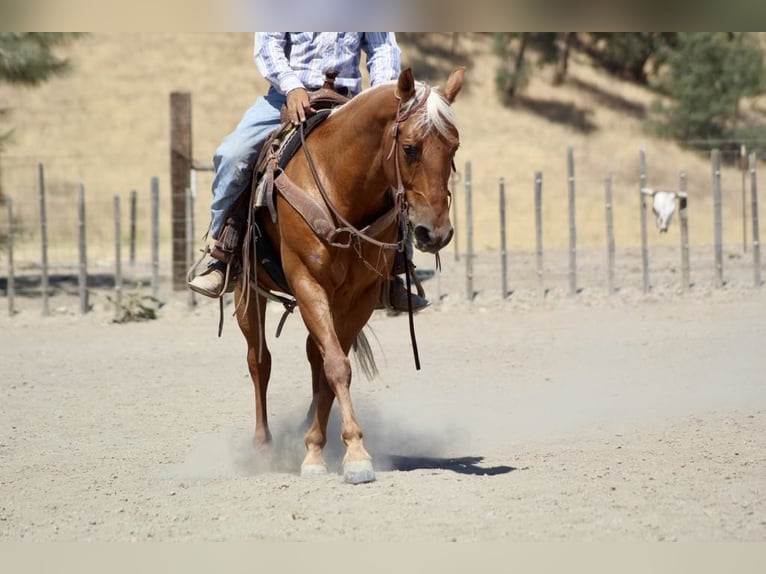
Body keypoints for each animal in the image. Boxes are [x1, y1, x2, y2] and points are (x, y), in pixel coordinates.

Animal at [234, 66, 465, 484]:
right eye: (410, 148)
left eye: (453, 148)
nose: (434, 233)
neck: (339, 183)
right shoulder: (307, 281)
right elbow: (337, 366)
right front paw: (356, 454)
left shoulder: (361, 296)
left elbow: (333, 366)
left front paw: (317, 449)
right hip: (248, 290)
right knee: (259, 360)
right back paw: (262, 446)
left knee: (314, 356)